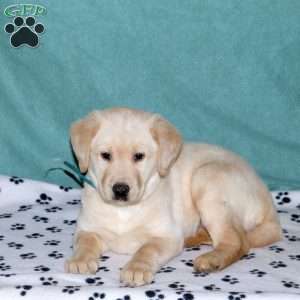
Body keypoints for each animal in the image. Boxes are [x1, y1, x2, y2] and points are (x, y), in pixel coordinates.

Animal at [65, 107, 282, 286]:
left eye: (139, 156)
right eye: (105, 155)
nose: (120, 190)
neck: (123, 211)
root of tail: (269, 205)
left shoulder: (166, 236)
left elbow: (147, 248)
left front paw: (136, 268)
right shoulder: (87, 228)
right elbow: (84, 242)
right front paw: (79, 260)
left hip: (207, 178)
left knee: (237, 241)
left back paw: (211, 260)